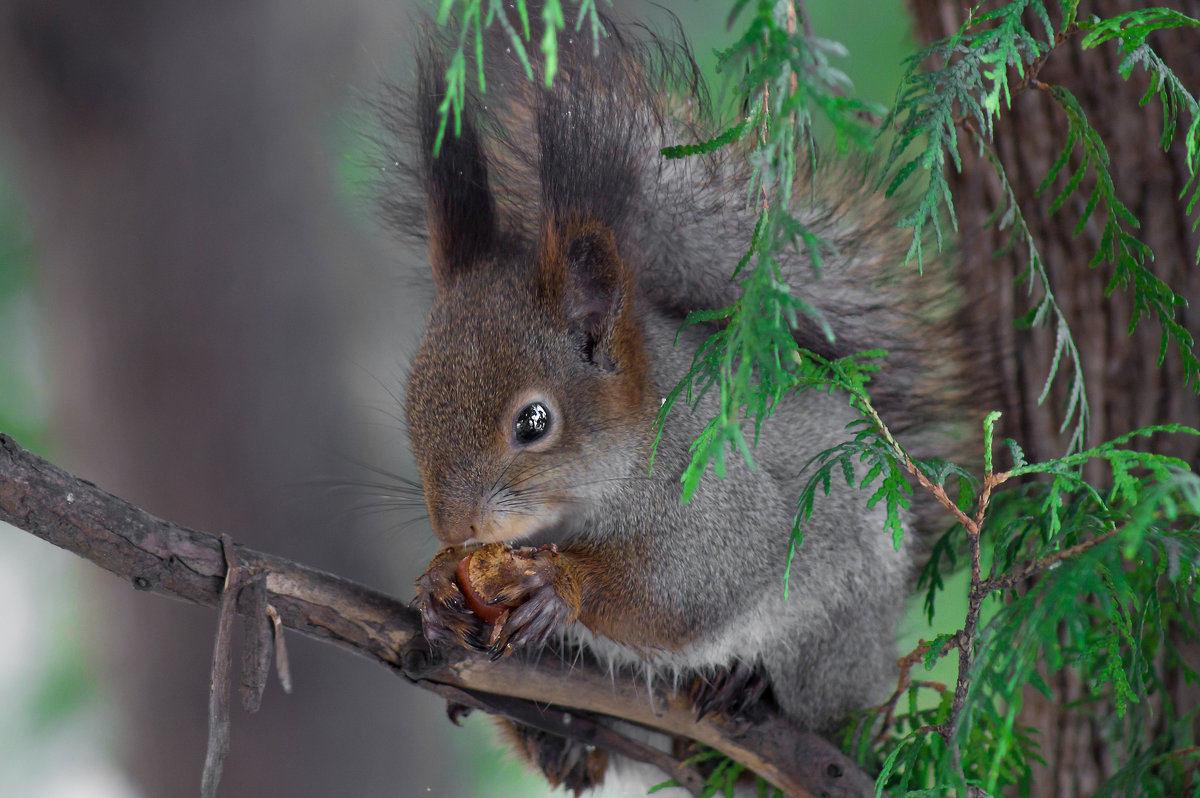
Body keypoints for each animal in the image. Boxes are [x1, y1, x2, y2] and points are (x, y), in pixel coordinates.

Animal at [388, 4, 969, 792]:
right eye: (412, 406)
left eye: (534, 421)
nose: (457, 526)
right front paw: (433, 585)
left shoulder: (715, 493)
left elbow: (688, 587)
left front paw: (561, 585)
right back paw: (552, 737)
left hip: (838, 628)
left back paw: (748, 686)